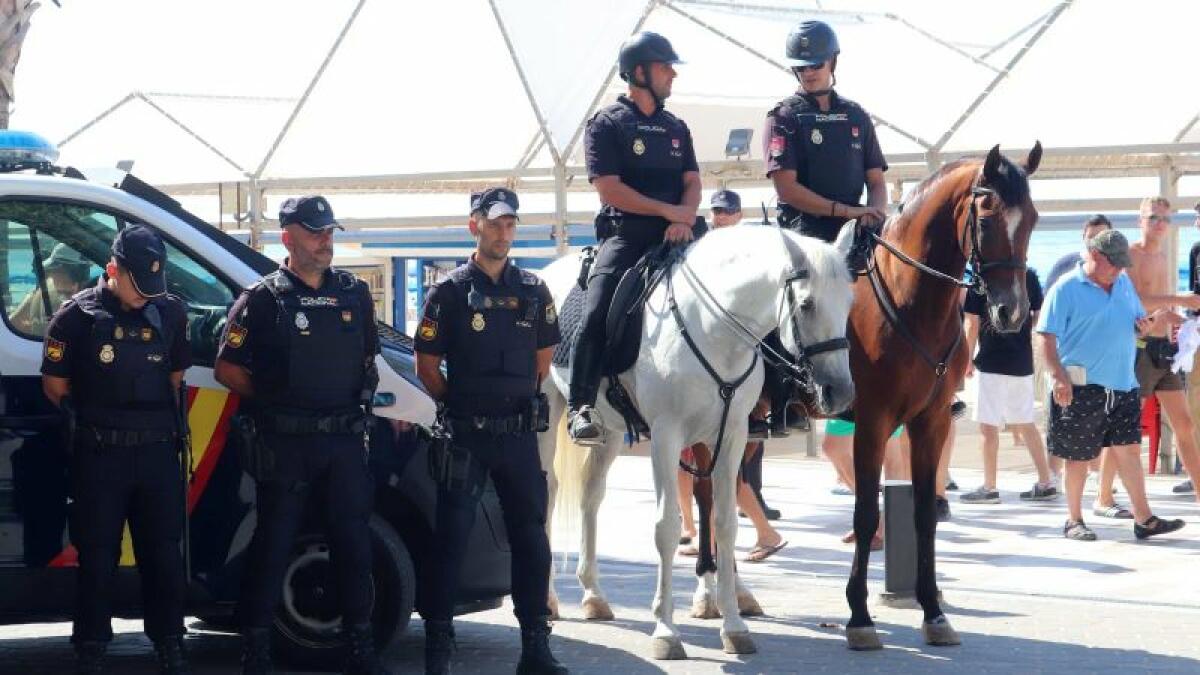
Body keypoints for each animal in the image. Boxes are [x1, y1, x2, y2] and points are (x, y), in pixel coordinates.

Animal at [535, 223, 854, 653]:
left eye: (850, 302)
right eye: (806, 304)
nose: (841, 391)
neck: (713, 330)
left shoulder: (730, 435)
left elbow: (724, 521)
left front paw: (733, 623)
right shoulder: (667, 436)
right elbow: (668, 527)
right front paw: (666, 629)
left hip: (612, 431)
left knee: (591, 495)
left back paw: (593, 595)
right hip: (549, 414)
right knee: (548, 491)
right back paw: (549, 599)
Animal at [840, 140, 1046, 648]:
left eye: (1033, 218)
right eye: (987, 219)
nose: (1011, 312)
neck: (910, 300)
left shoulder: (929, 422)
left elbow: (924, 514)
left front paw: (932, 610)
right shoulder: (872, 423)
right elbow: (865, 515)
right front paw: (859, 615)